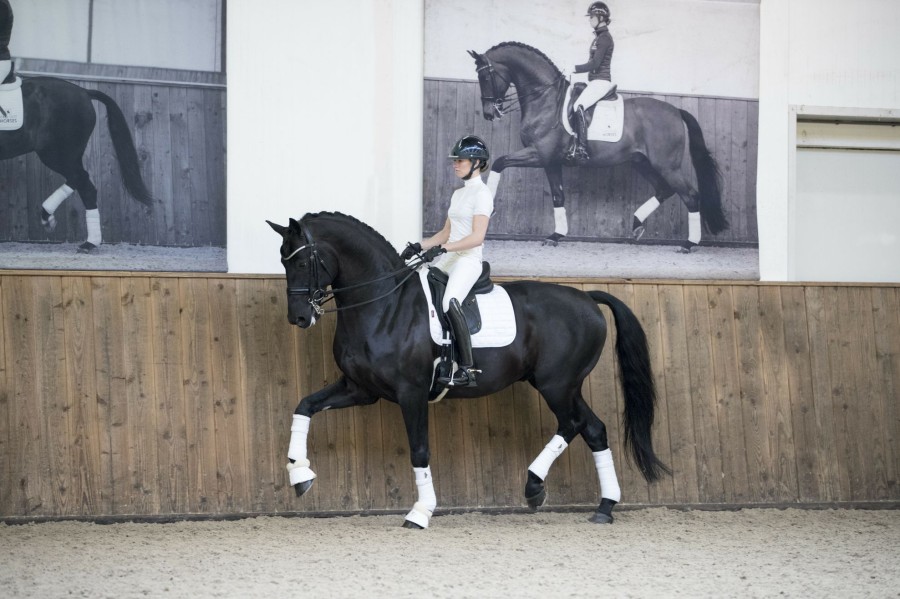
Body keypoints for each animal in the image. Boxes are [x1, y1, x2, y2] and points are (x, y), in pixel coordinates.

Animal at [0, 75, 154, 253]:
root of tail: (84, 92)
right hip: (65, 155)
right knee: (83, 183)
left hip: (57, 153)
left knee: (81, 180)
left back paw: (60, 224)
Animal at [268, 211, 668, 528]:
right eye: (283, 262)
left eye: (301, 262)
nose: (298, 318)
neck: (385, 305)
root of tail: (587, 297)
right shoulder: (359, 389)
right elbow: (304, 406)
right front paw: (300, 474)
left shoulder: (411, 392)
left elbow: (419, 450)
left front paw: (421, 512)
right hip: (565, 385)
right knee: (594, 429)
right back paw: (604, 507)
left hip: (556, 384)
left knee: (572, 423)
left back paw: (534, 486)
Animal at [468, 42, 728, 251]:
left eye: (485, 77)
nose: (489, 113)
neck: (546, 100)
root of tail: (676, 111)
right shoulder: (551, 161)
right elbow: (558, 196)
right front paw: (556, 235)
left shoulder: (539, 154)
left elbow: (500, 162)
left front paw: (489, 207)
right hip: (642, 162)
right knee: (664, 190)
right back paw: (636, 224)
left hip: (667, 166)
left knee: (691, 196)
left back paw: (689, 244)